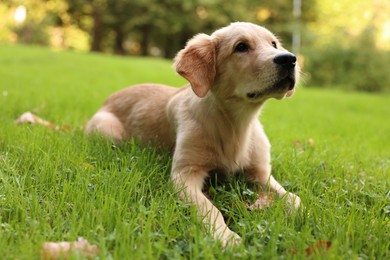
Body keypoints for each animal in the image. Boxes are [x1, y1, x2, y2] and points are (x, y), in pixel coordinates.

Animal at [86, 21, 302, 246]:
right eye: (241, 47)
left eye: (273, 44)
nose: (289, 59)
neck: (236, 124)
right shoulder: (185, 174)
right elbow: (210, 208)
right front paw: (226, 237)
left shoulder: (261, 172)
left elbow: (295, 199)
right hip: (107, 129)